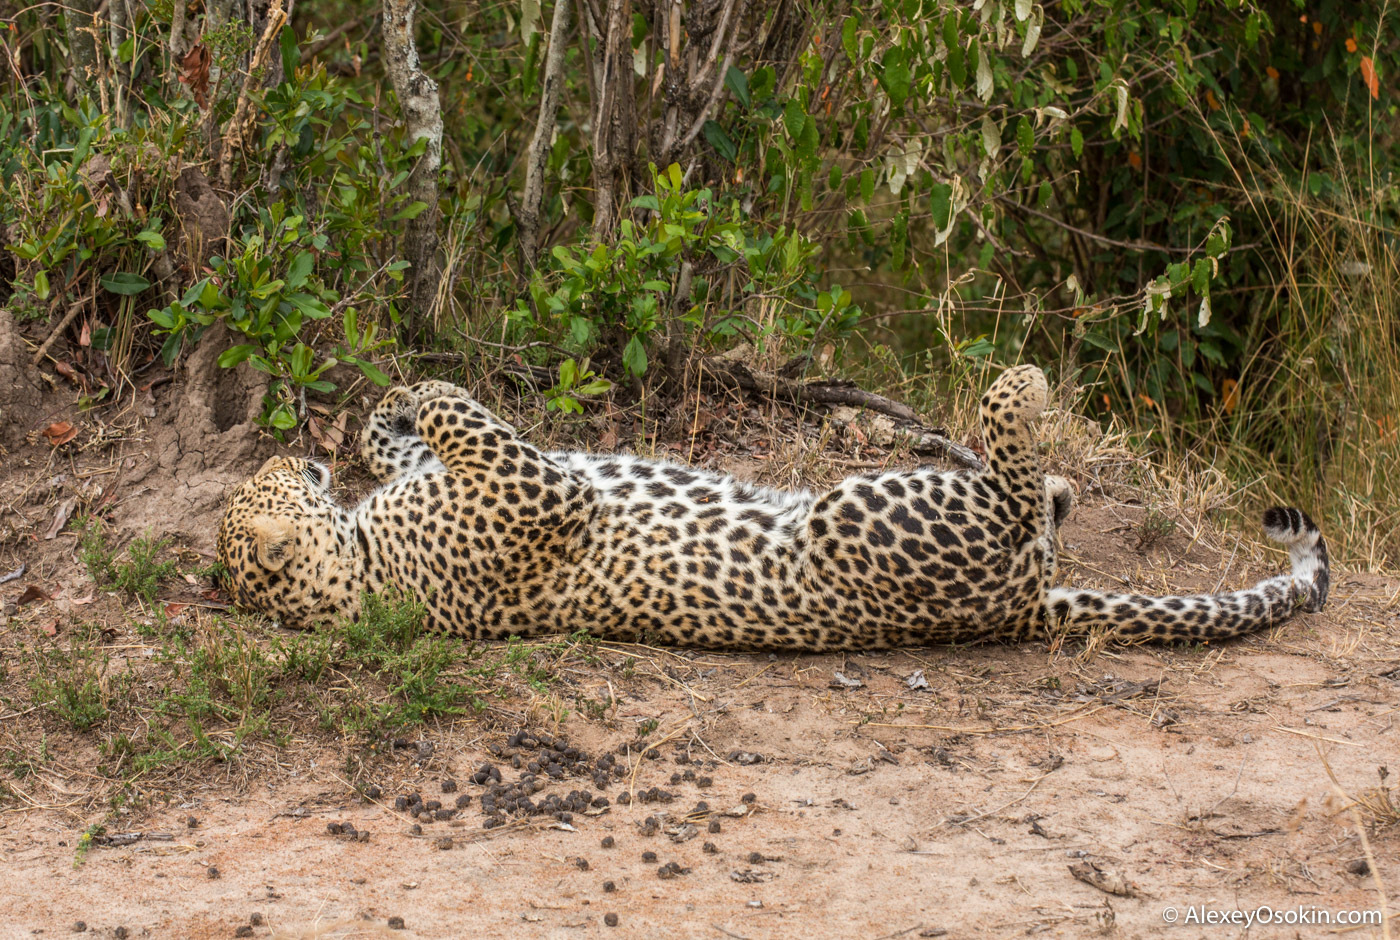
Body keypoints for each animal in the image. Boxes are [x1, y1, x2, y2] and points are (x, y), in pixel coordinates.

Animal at [212, 364, 1327, 650]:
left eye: (258, 480)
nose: (284, 453)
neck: (361, 561)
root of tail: (1014, 612)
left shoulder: (471, 475)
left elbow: (398, 432)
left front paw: (385, 400)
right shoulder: (527, 484)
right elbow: (467, 415)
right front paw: (412, 393)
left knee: (1037, 507)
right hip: (863, 512)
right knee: (1013, 495)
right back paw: (1023, 393)